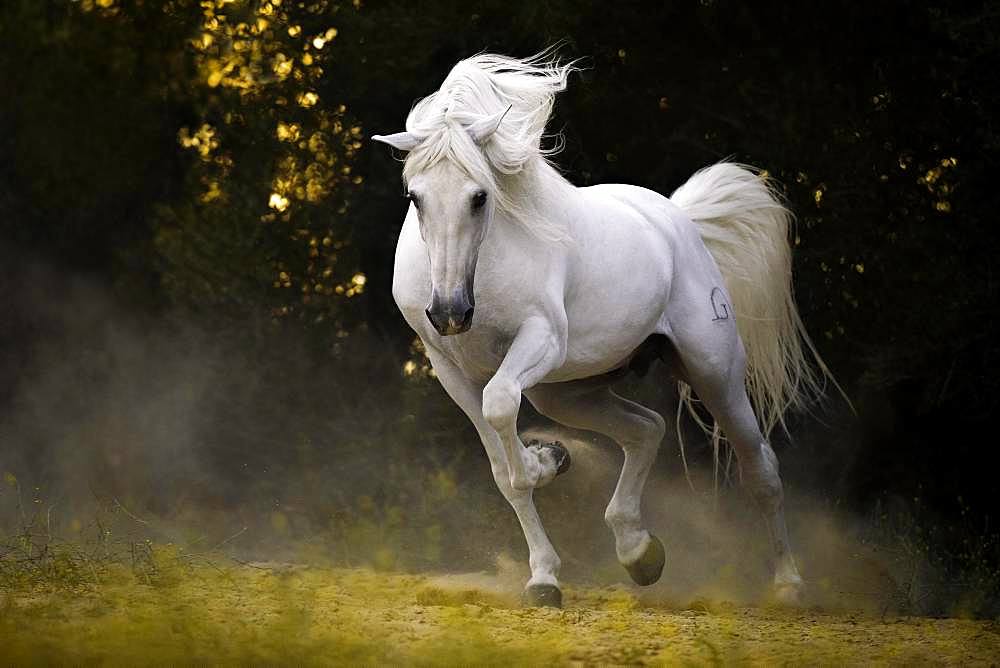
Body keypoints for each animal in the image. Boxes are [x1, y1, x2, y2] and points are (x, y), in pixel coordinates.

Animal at [374, 51, 828, 604]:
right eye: (415, 196)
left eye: (479, 196)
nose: (450, 312)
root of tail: (677, 220)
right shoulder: (450, 370)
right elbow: (504, 474)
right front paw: (544, 572)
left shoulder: (541, 340)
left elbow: (502, 410)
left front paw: (545, 463)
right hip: (566, 392)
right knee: (646, 430)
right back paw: (638, 552)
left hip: (712, 372)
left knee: (759, 466)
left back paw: (787, 585)